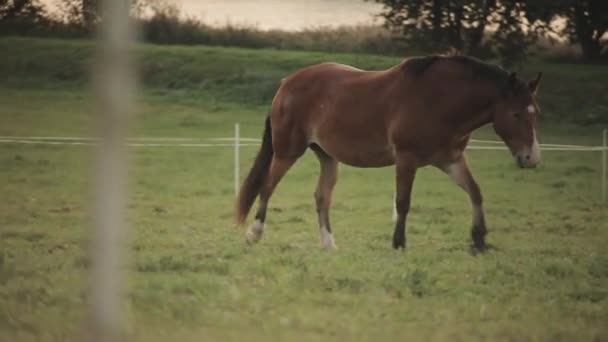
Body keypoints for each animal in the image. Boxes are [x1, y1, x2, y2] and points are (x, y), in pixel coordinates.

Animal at [236, 54, 540, 251]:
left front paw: (479, 239)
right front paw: (399, 243)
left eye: (534, 112)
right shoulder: (406, 159)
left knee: (322, 198)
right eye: (515, 113)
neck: (439, 100)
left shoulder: (450, 159)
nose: (531, 158)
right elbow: (403, 202)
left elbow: (475, 192)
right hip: (287, 152)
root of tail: (287, 82)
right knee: (267, 188)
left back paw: (328, 244)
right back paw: (254, 234)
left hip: (327, 157)